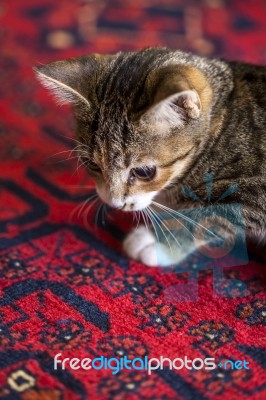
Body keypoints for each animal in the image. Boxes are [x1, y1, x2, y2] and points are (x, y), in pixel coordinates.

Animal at [33, 47, 266, 266]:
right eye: (91, 163)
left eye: (144, 172)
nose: (115, 204)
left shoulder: (250, 193)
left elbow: (205, 217)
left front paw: (159, 242)